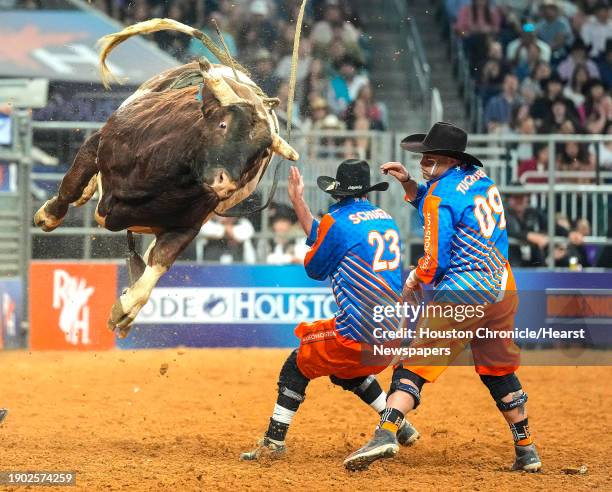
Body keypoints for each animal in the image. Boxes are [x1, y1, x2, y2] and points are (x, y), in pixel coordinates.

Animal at [33, 17, 302, 336]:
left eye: (260, 153)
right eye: (223, 124)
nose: (225, 183)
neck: (164, 176)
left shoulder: (187, 225)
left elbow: (159, 263)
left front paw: (125, 311)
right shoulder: (96, 144)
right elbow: (70, 187)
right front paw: (49, 215)